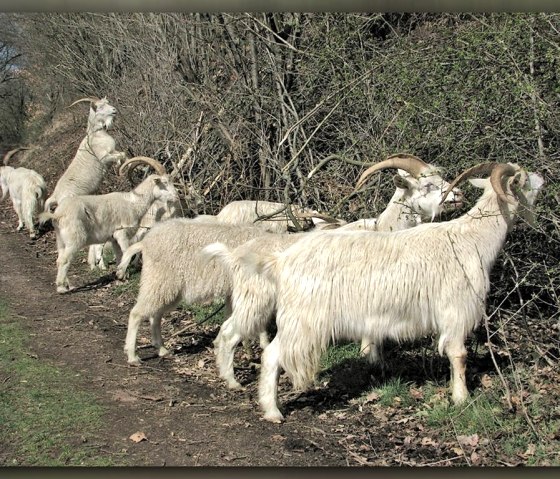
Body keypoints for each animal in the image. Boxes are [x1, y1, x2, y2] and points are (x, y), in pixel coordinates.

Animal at [201, 154, 464, 390]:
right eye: (428, 185)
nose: (459, 195)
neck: (384, 230)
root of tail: (237, 255)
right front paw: (372, 359)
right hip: (256, 300)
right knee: (228, 333)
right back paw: (233, 382)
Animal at [244, 163, 544, 422]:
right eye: (524, 178)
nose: (543, 179)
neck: (472, 238)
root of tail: (282, 261)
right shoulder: (456, 310)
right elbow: (458, 355)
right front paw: (461, 399)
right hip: (303, 319)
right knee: (272, 354)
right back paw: (273, 411)